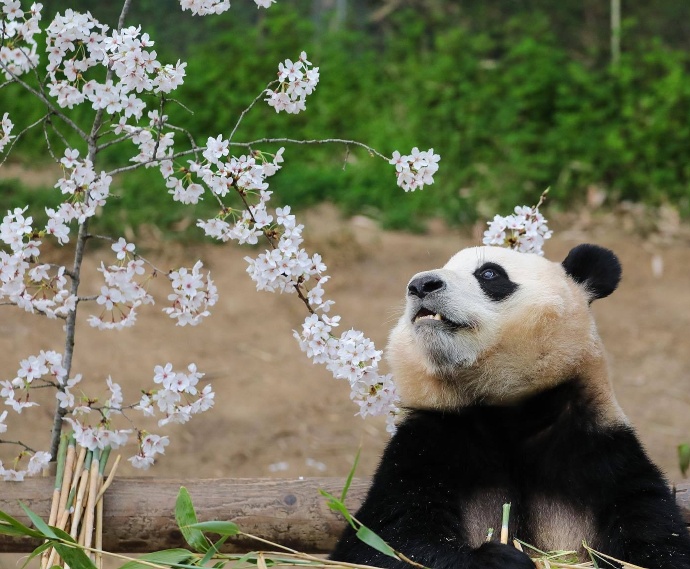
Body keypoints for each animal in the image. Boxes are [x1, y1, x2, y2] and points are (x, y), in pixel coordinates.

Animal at [330, 244, 690, 569]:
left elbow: (657, 535)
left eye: (489, 273)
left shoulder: (600, 453)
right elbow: (382, 541)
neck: (506, 407)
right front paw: (498, 559)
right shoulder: (427, 445)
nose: (420, 285)